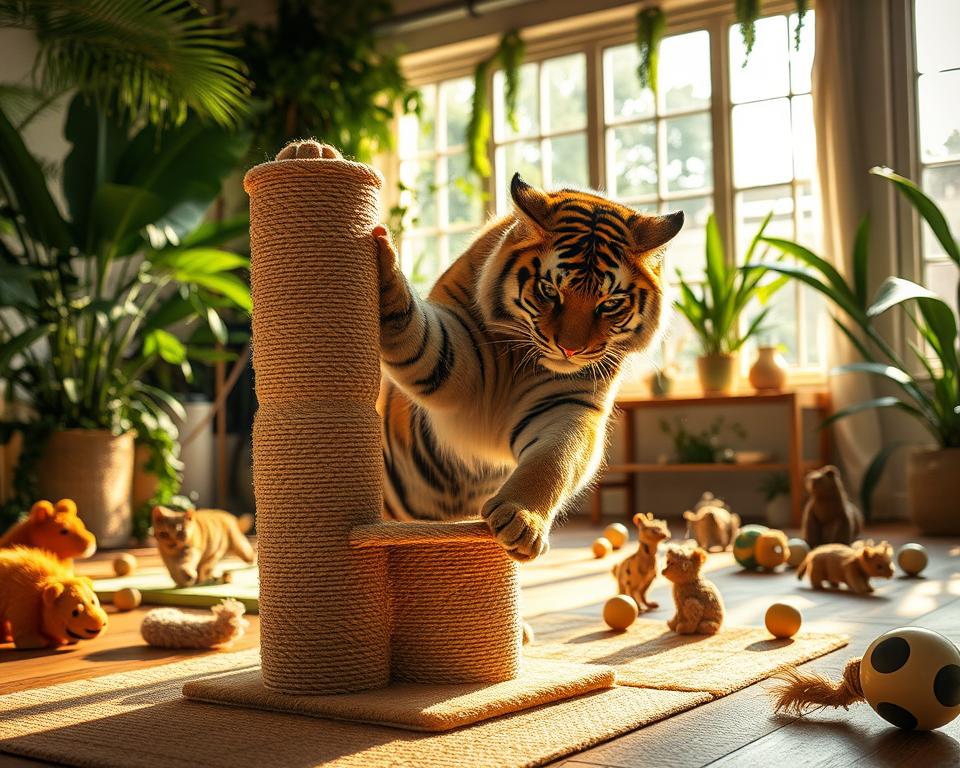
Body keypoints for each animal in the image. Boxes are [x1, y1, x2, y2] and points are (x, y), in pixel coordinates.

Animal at [374, 173, 683, 561]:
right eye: (549, 291)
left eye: (609, 304)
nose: (570, 348)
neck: (524, 361)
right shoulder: (457, 361)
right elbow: (421, 336)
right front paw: (382, 263)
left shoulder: (568, 402)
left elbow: (556, 458)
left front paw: (522, 522)